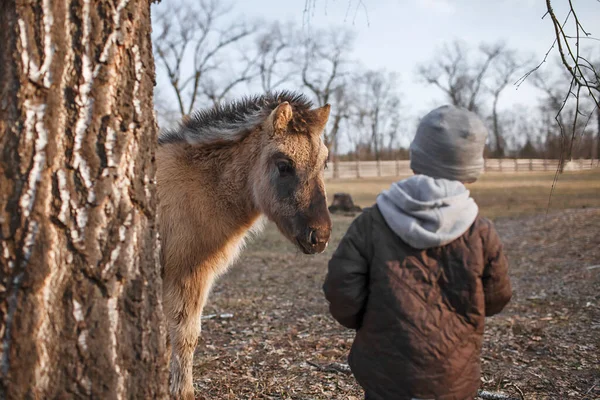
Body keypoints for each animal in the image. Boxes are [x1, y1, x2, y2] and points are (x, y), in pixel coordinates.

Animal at [155, 92, 332, 398]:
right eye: (284, 165)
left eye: (324, 163)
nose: (319, 237)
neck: (199, 185)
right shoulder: (186, 275)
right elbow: (185, 336)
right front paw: (182, 392)